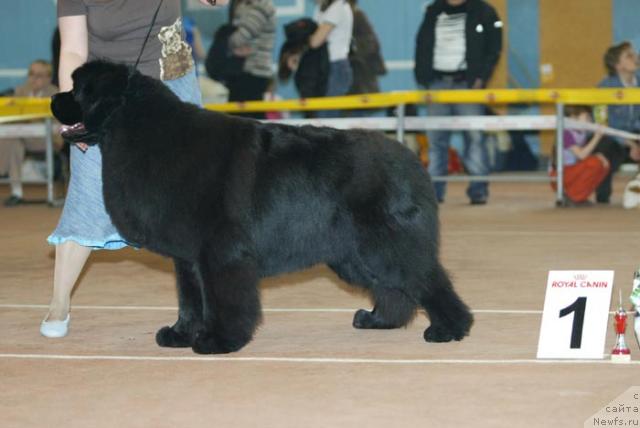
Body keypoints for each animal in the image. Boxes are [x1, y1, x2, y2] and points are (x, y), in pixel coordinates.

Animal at [52, 60, 472, 354]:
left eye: (78, 90)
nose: (53, 98)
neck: (141, 132)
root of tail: (411, 160)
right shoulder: (188, 257)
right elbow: (190, 298)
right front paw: (181, 334)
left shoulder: (221, 251)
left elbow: (223, 298)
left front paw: (219, 340)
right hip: (354, 254)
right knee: (393, 288)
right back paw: (378, 320)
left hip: (385, 244)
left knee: (427, 280)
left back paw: (449, 329)